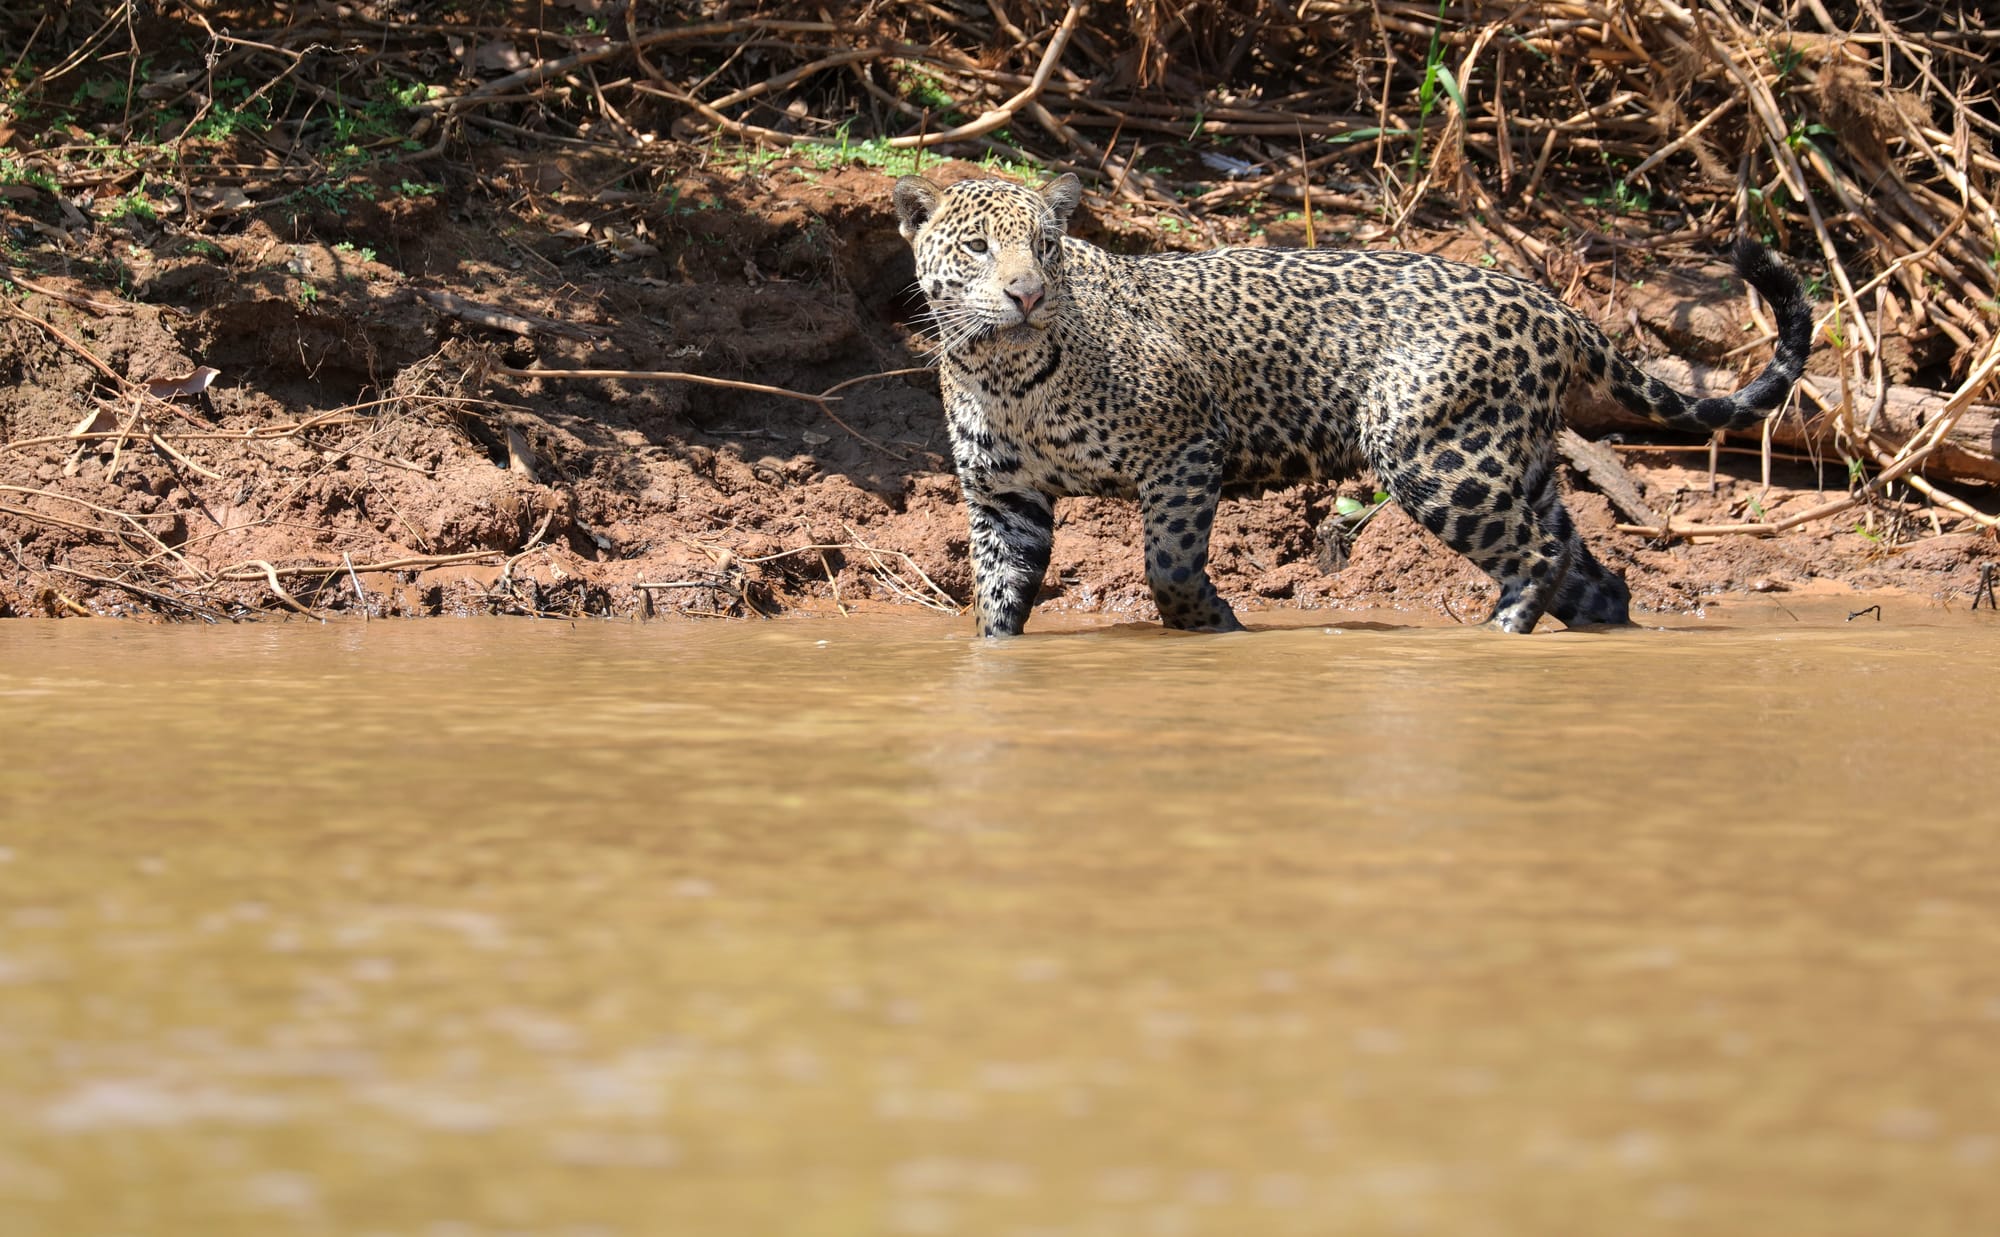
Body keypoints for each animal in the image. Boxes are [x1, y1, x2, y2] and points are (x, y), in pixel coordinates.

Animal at [893, 172, 1812, 636]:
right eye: (978, 247)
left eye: (1045, 246)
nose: (1026, 294)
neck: (1004, 370)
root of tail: (1555, 304)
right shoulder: (1003, 499)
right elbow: (996, 600)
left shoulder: (1187, 448)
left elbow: (1168, 565)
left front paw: (1214, 623)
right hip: (1513, 458)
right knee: (1593, 572)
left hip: (1434, 455)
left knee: (1537, 555)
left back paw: (1497, 639)